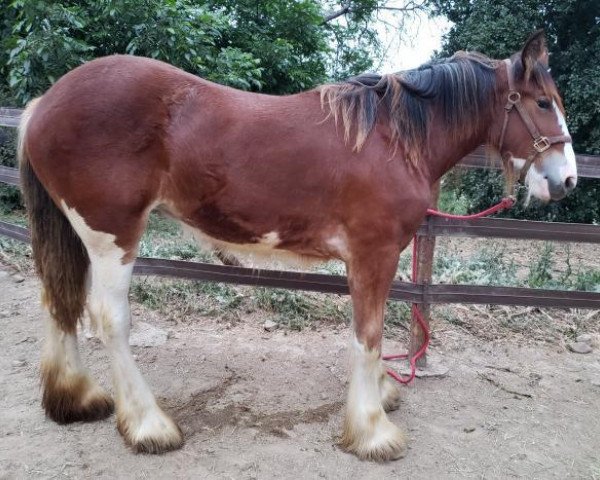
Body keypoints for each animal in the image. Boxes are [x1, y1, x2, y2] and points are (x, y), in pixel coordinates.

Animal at [18, 31, 576, 462]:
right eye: (543, 103)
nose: (567, 180)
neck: (393, 140)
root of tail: (44, 104)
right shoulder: (373, 254)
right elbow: (368, 334)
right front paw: (372, 431)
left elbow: (373, 335)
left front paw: (382, 394)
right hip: (112, 237)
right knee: (108, 318)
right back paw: (149, 426)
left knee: (58, 300)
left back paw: (77, 400)